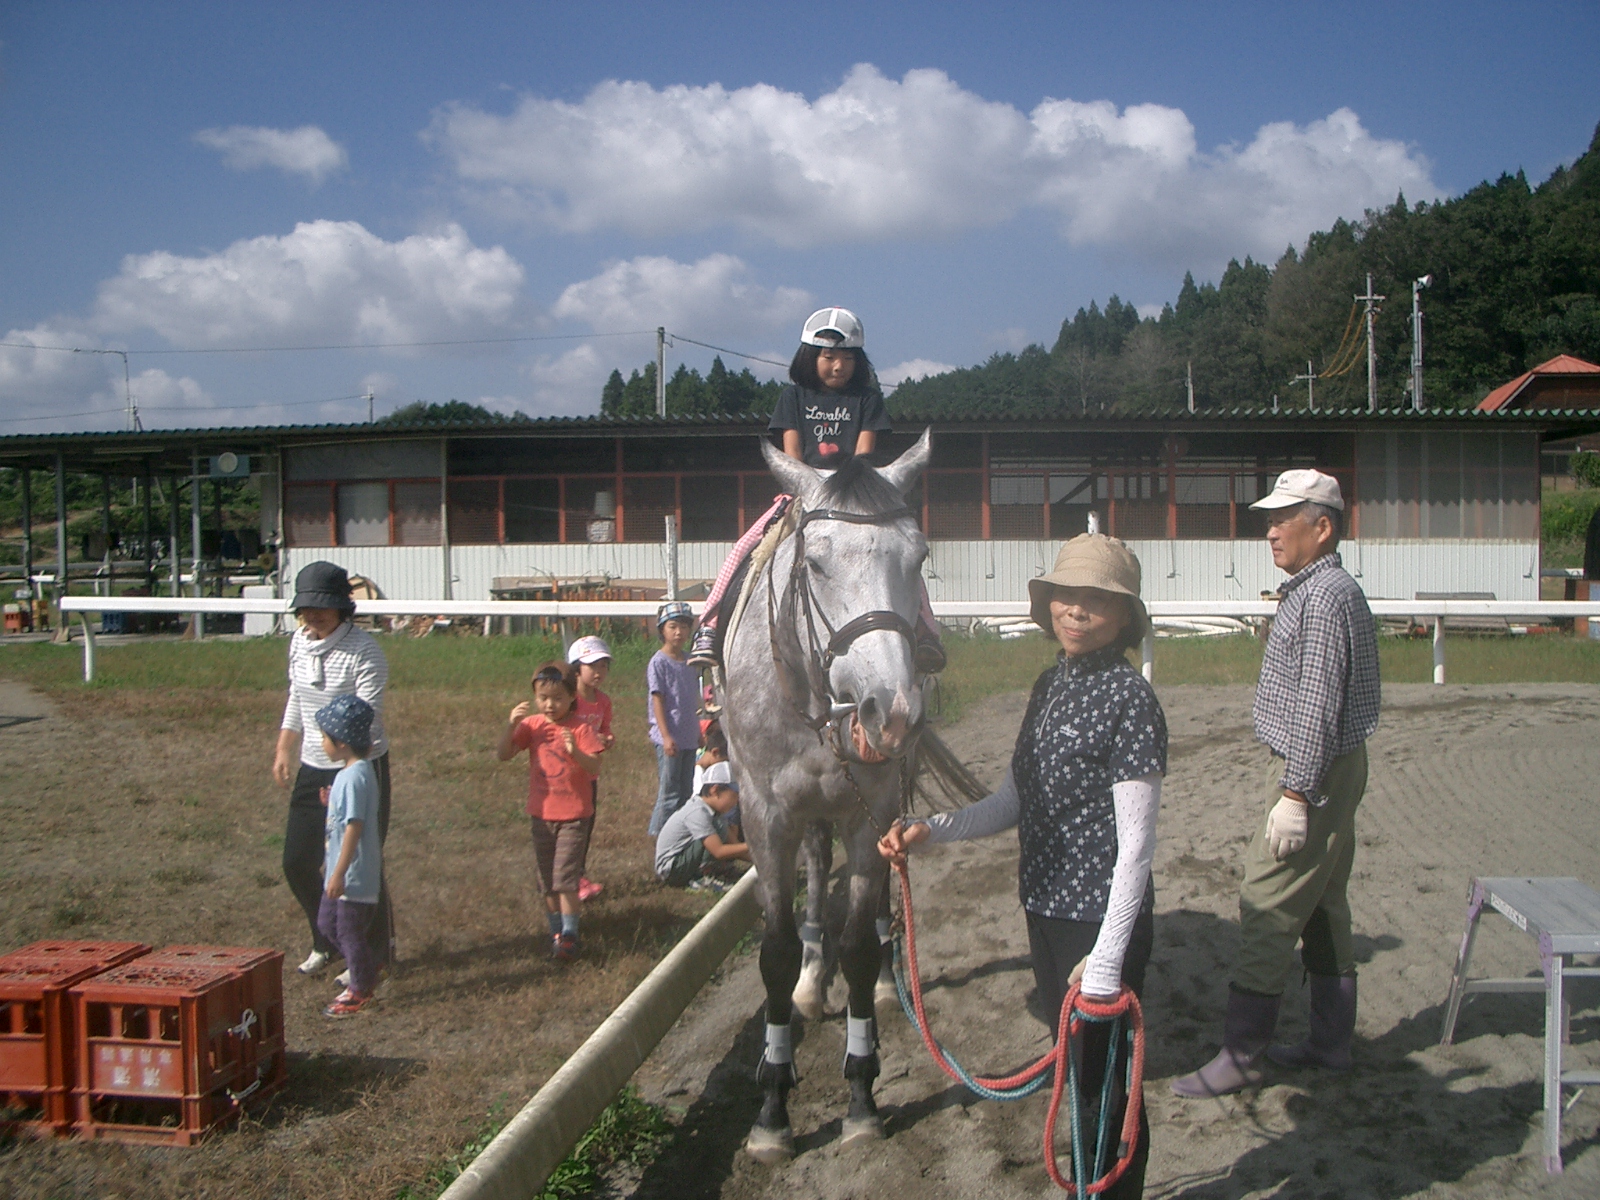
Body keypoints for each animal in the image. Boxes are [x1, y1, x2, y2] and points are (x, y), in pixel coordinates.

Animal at [721, 430, 933, 1163]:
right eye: (813, 564)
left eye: (919, 558)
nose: (890, 713)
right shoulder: (764, 813)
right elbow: (776, 952)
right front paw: (771, 1110)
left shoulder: (872, 806)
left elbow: (861, 948)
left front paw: (862, 1098)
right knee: (815, 868)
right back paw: (814, 982)